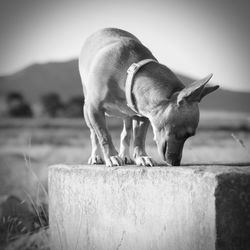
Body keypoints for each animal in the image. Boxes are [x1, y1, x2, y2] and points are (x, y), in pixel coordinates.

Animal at [78, 27, 219, 166]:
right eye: (183, 134)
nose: (176, 162)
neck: (127, 76)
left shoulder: (142, 114)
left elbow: (139, 138)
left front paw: (142, 157)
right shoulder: (94, 109)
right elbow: (104, 135)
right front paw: (111, 156)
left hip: (127, 115)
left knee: (126, 133)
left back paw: (125, 155)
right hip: (87, 112)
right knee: (94, 135)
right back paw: (96, 156)